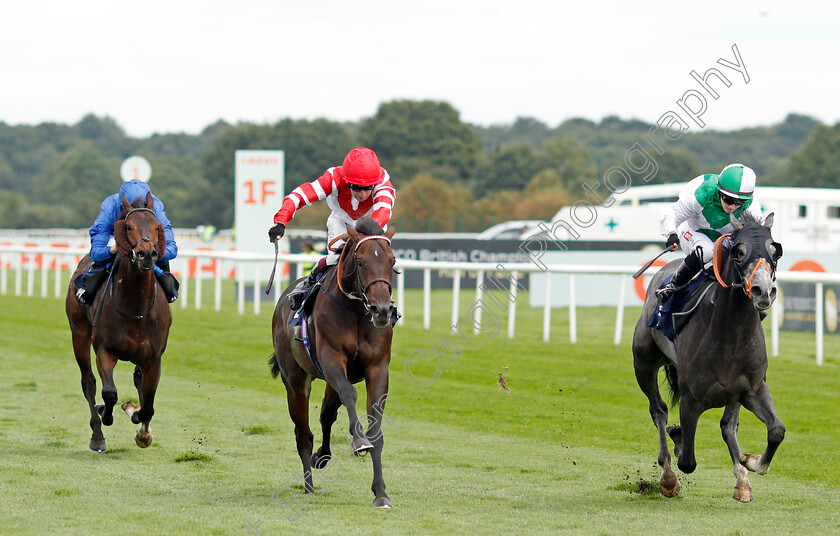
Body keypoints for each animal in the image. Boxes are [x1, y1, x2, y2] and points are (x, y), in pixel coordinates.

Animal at [65, 193, 172, 452]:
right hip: (79, 332)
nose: (146, 254)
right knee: (88, 382)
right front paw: (105, 412)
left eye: (157, 227)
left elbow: (148, 404)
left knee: (138, 378)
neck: (135, 307)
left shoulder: (154, 358)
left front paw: (142, 429)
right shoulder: (105, 349)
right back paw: (97, 435)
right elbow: (109, 393)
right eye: (129, 226)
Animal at [270, 216, 398, 508]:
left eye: (392, 261)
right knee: (303, 434)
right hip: (296, 382)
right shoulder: (331, 359)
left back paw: (322, 456)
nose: (382, 310)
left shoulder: (377, 369)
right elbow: (350, 396)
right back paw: (308, 485)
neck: (357, 313)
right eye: (360, 262)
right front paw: (359, 440)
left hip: (330, 381)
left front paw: (381, 493)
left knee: (327, 414)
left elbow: (375, 427)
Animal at [636, 214, 788, 502]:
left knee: (728, 425)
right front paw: (677, 444)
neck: (731, 332)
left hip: (734, 394)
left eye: (775, 251)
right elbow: (687, 461)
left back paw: (742, 480)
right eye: (739, 251)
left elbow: (776, 430)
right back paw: (668, 474)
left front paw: (750, 462)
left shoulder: (752, 388)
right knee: (658, 411)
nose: (763, 291)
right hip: (643, 363)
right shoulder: (690, 398)